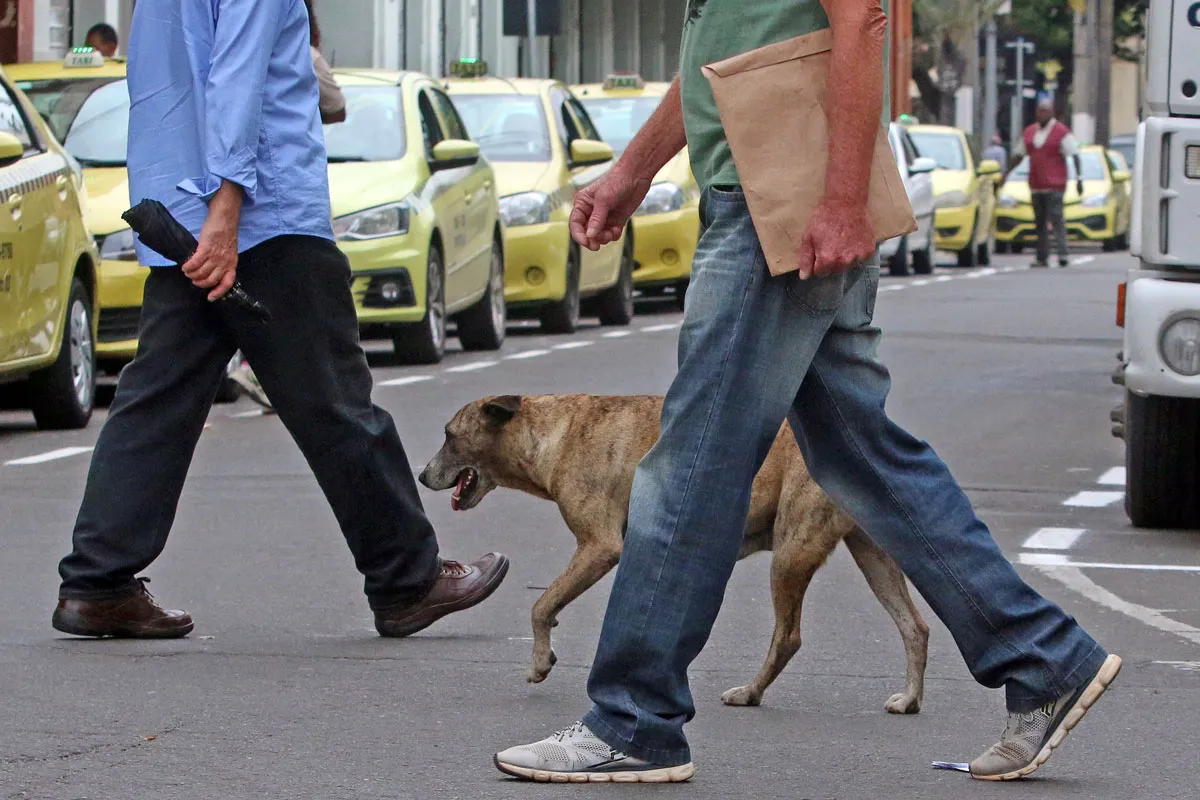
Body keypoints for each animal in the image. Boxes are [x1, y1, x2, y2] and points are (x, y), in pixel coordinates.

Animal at [420, 393, 926, 714]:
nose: (423, 476)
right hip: (872, 556)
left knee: (788, 637)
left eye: (448, 435)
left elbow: (541, 605)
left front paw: (541, 662)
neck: (551, 433)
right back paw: (910, 698)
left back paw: (751, 692)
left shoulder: (599, 546)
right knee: (915, 627)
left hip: (791, 550)